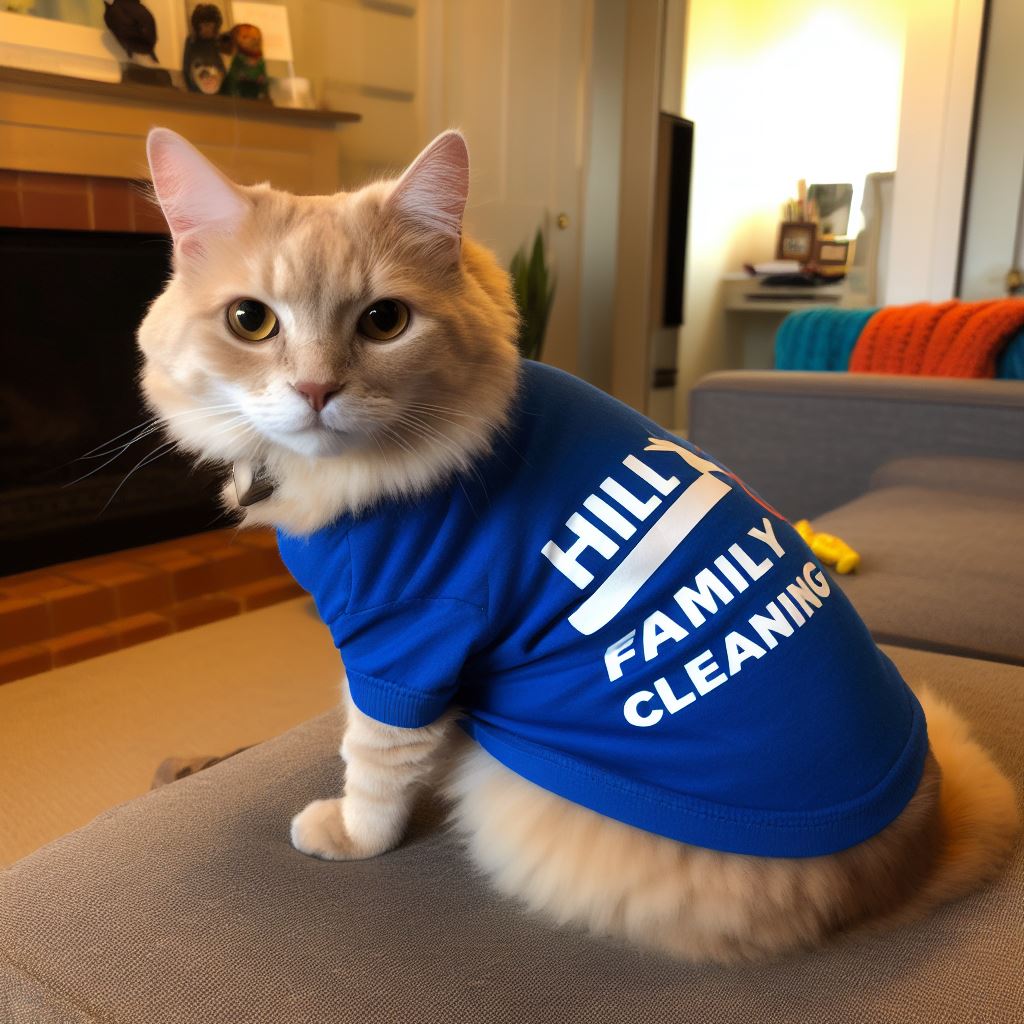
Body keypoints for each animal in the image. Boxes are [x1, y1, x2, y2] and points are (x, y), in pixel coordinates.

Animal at [137, 127, 1019, 964]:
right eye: (250, 321)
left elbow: (375, 764)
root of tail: (919, 842)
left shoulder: (407, 642)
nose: (316, 391)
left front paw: (348, 836)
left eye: (385, 321)